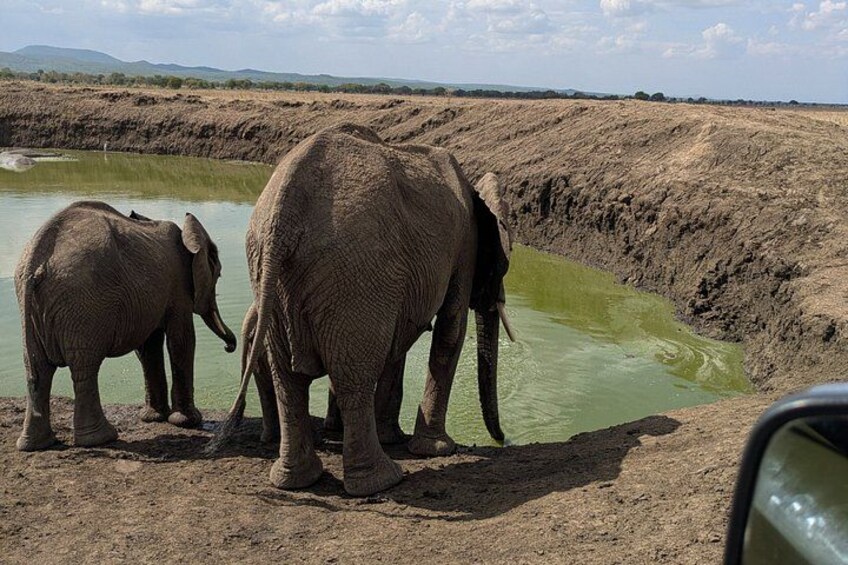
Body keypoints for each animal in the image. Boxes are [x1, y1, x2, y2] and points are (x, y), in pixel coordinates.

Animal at [15, 200, 237, 451]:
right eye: (218, 274)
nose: (229, 347)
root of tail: (35, 260)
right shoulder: (178, 287)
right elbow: (181, 341)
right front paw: (188, 422)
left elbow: (149, 347)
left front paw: (154, 419)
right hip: (82, 305)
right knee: (84, 368)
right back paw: (101, 439)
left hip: (37, 307)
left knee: (38, 370)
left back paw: (36, 445)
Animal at [211, 123, 513, 496]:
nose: (503, 440)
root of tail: (286, 206)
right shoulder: (463, 245)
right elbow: (450, 330)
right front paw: (438, 450)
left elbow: (398, 344)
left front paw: (395, 438)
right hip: (356, 269)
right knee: (352, 378)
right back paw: (381, 481)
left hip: (272, 267)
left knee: (289, 379)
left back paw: (297, 481)